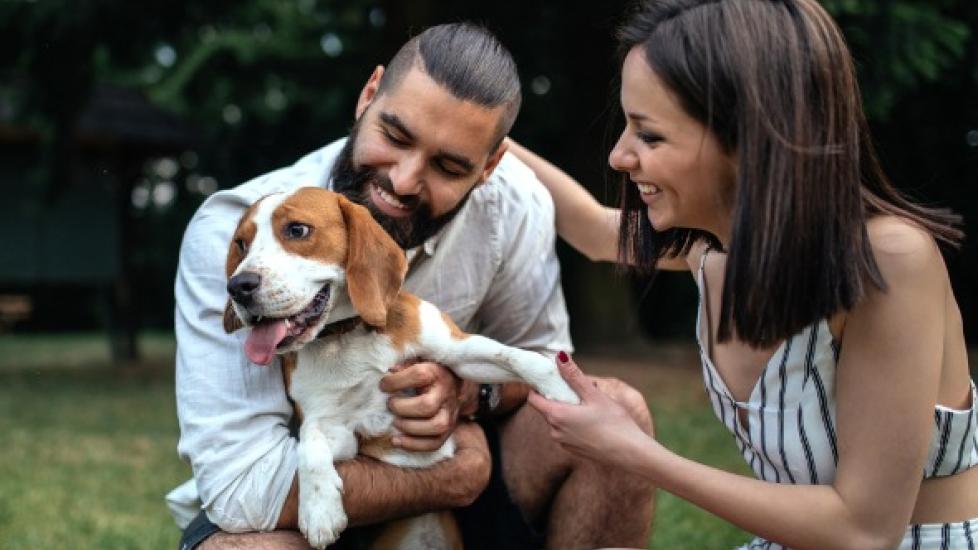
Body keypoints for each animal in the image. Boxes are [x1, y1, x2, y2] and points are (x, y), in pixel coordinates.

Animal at [221, 188, 580, 548]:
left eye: (297, 230)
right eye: (241, 244)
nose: (238, 286)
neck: (348, 335)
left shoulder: (457, 350)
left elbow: (518, 357)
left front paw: (565, 394)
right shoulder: (338, 428)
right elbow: (309, 446)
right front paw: (319, 510)